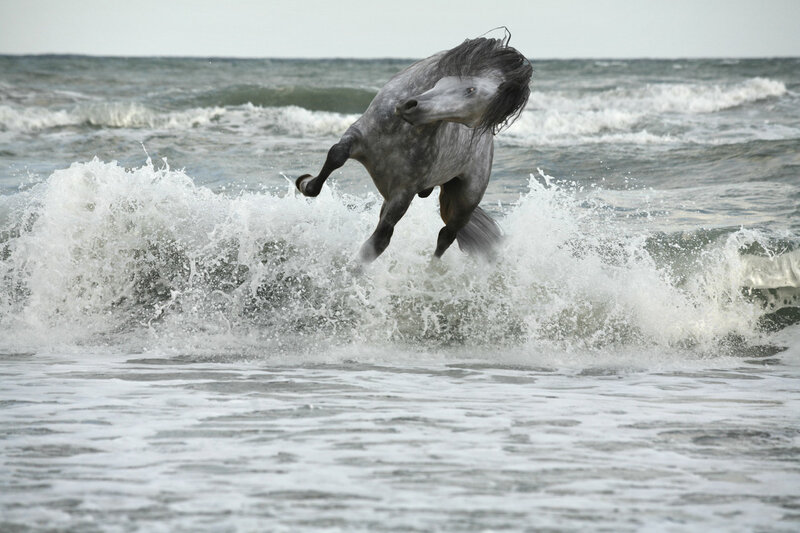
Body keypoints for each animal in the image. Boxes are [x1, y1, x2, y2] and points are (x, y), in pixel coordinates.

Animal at [295, 36, 532, 263]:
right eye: (446, 80)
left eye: (472, 92)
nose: (409, 106)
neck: (399, 131)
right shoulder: (356, 135)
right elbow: (336, 155)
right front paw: (305, 183)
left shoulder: (404, 191)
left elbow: (378, 242)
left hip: (465, 202)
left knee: (446, 236)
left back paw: (432, 271)